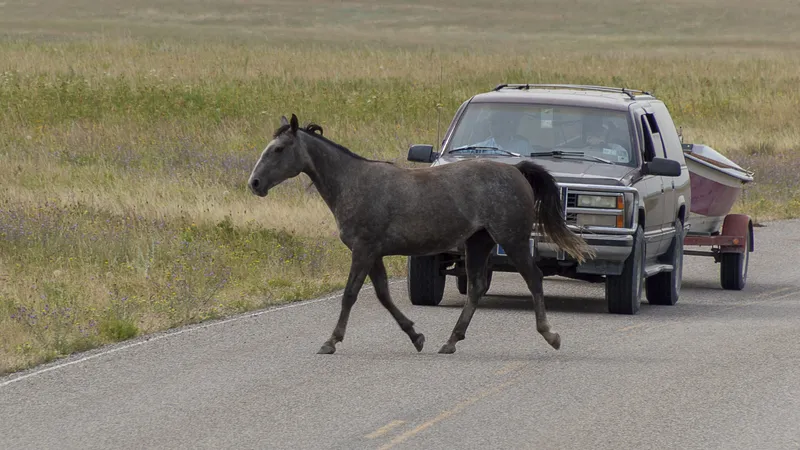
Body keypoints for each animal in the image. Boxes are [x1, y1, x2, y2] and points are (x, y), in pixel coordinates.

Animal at [247, 114, 594, 355]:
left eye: (278, 149)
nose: (254, 183)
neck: (353, 183)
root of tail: (516, 169)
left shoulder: (363, 250)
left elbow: (350, 295)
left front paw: (331, 341)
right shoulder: (374, 254)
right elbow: (384, 295)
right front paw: (416, 337)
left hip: (513, 241)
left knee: (533, 279)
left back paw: (550, 335)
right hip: (478, 243)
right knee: (477, 288)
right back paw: (450, 341)